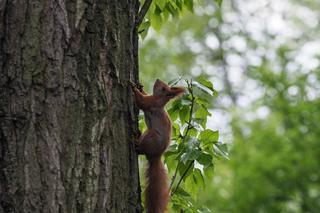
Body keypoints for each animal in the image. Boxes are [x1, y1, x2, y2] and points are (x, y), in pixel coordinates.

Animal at [130, 79, 185, 213]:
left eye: (164, 88)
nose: (157, 80)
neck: (159, 99)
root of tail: (156, 156)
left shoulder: (150, 103)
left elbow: (141, 101)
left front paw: (134, 88)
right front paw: (140, 87)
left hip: (151, 137)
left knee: (142, 150)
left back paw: (137, 145)